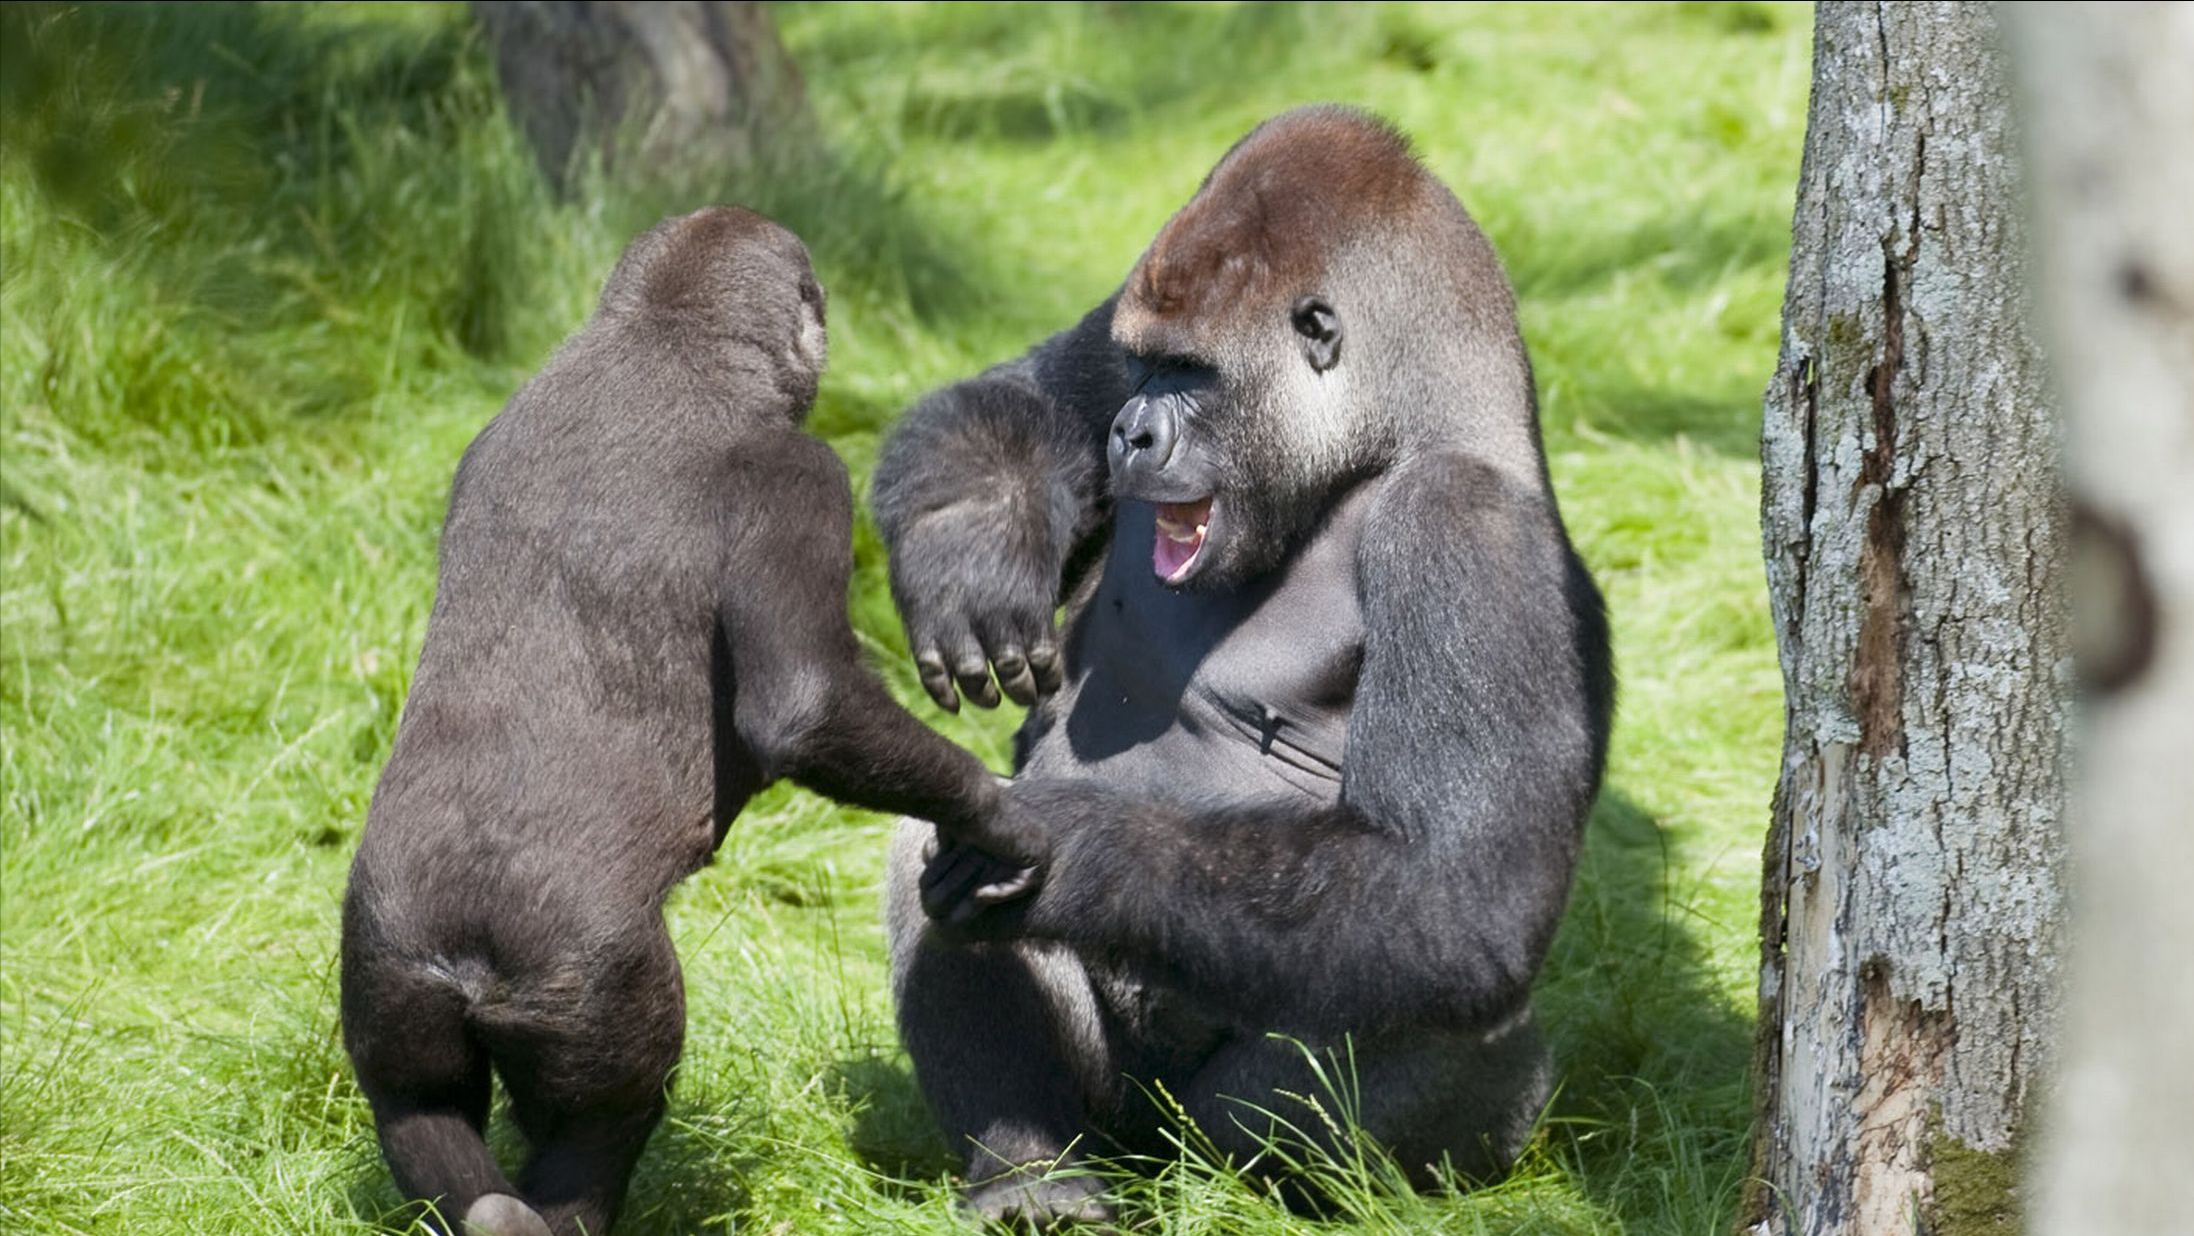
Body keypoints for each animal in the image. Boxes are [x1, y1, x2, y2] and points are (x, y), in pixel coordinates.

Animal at [344, 205, 1044, 1236]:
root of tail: (463, 957)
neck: (658, 340)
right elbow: (806, 703)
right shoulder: (803, 475)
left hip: (387, 964)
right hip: (590, 985)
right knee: (610, 1113)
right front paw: (998, 815)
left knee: (417, 1105)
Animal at [868, 106, 1614, 1229]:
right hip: (1116, 1121)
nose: (1130, 432)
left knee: (1436, 1007)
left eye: (1193, 372)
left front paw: (1072, 847)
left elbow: (1458, 894)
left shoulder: (1469, 532)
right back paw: (1032, 1171)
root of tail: (1149, 1150)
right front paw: (975, 537)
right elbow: (1020, 390)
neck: (1392, 438)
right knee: (929, 845)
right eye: (1147, 367)